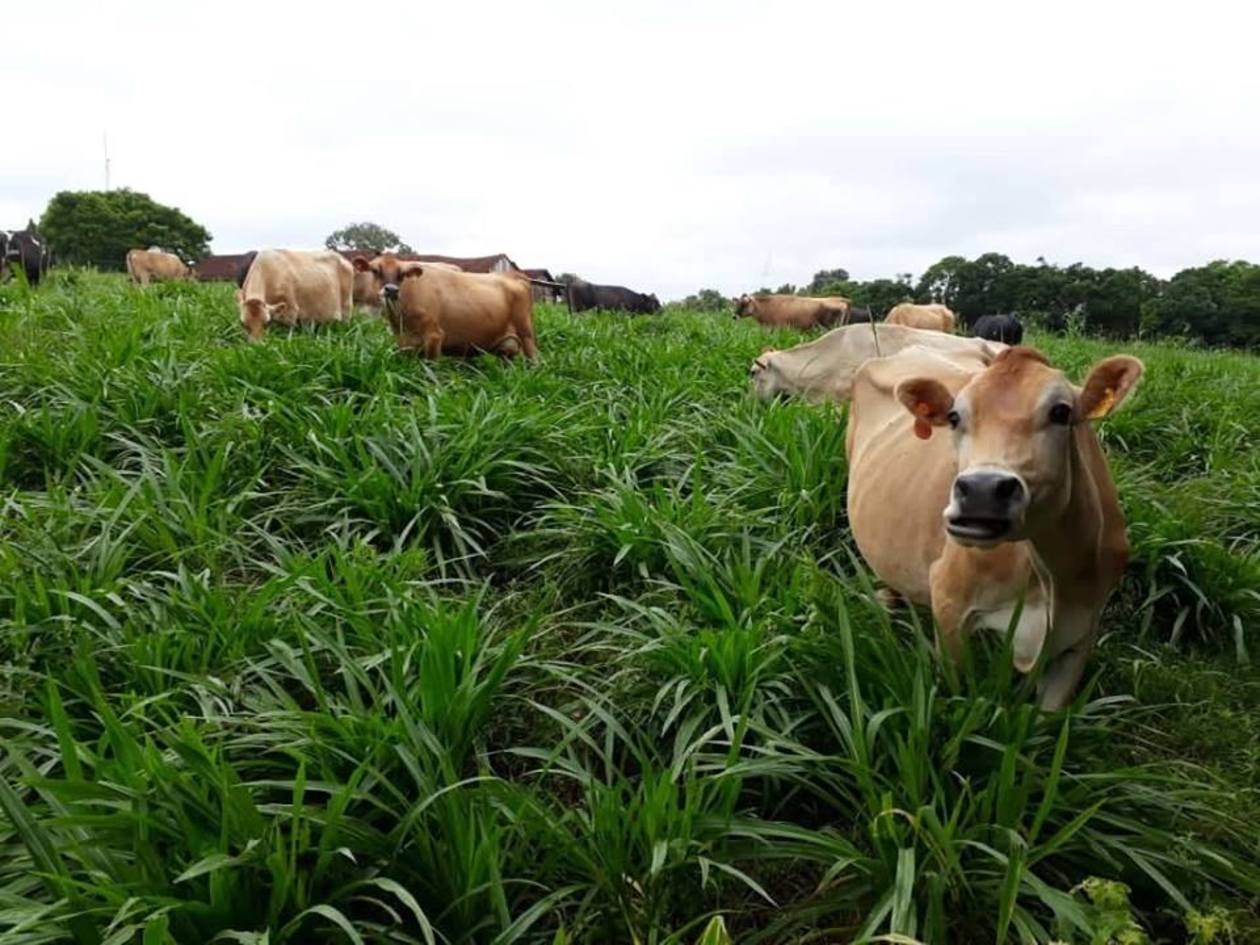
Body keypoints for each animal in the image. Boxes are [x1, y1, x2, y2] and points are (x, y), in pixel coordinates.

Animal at [352, 255, 539, 362]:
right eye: (375, 270)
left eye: (402, 274)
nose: (391, 290)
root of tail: (513, 275)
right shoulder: (404, 343)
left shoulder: (434, 336)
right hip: (506, 346)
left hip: (526, 333)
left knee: (533, 358)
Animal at [846, 345, 1144, 710]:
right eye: (954, 417)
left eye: (1061, 412)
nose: (981, 490)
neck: (1051, 579)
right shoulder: (948, 600)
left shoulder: (1082, 630)